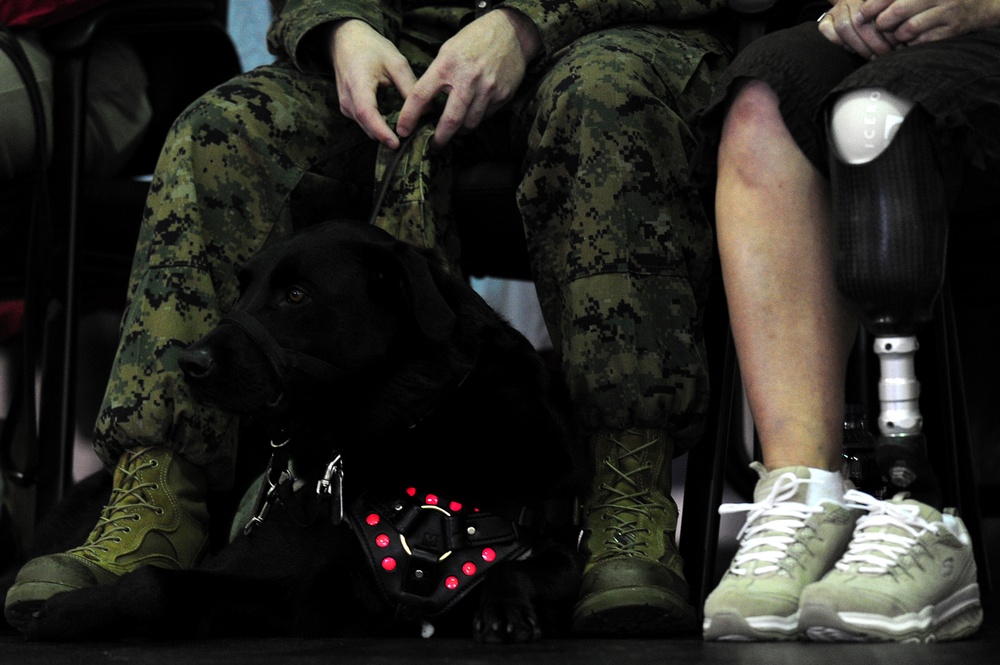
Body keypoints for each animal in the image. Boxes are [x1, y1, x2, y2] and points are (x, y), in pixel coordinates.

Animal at [19, 220, 588, 640]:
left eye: (295, 295)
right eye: (244, 289)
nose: (189, 362)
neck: (401, 426)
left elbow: (536, 566)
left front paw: (505, 605)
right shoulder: (274, 583)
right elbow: (153, 583)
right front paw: (68, 610)